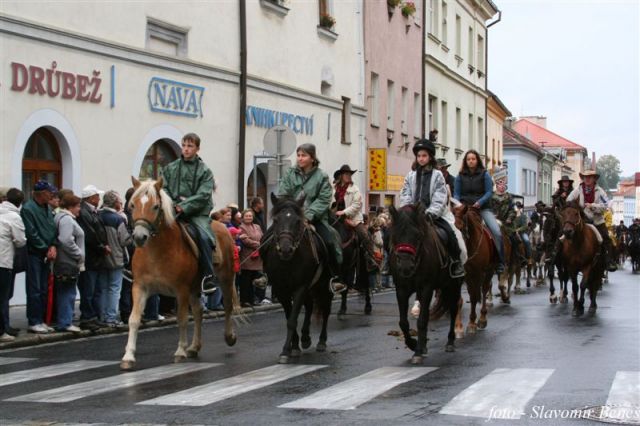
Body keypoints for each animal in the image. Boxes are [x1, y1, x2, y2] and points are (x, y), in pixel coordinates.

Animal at [120, 176, 240, 370]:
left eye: (156, 206)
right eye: (132, 205)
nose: (139, 237)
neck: (157, 251)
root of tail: (223, 226)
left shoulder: (181, 290)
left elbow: (182, 319)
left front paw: (180, 351)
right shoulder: (140, 287)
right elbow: (134, 319)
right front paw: (128, 356)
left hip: (226, 279)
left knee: (228, 306)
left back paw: (229, 337)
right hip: (195, 289)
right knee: (198, 312)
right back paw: (194, 347)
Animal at [262, 194, 336, 362]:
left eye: (297, 221)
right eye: (276, 220)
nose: (285, 249)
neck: (288, 262)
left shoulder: (300, 287)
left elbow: (292, 319)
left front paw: (285, 351)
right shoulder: (281, 290)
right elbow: (290, 317)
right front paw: (294, 347)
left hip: (323, 286)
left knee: (326, 310)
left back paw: (321, 341)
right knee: (309, 306)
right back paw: (306, 338)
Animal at [384, 205, 460, 364]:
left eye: (418, 236)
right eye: (395, 235)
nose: (406, 266)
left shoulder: (426, 288)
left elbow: (422, 320)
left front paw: (417, 351)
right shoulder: (401, 289)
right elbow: (403, 322)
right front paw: (413, 344)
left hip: (453, 286)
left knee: (453, 310)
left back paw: (450, 342)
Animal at [450, 205, 500, 338]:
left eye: (460, 227)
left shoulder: (478, 273)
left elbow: (473, 297)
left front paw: (472, 324)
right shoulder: (461, 276)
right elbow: (459, 299)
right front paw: (458, 328)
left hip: (488, 272)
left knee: (484, 289)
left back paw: (482, 319)